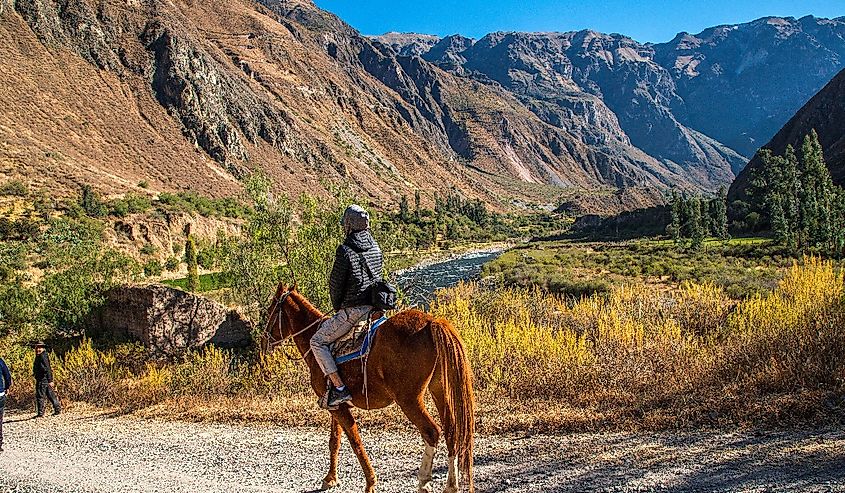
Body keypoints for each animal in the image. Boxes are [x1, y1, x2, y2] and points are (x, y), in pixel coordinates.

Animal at [266, 280, 474, 492]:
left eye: (270, 310)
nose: (265, 336)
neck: (314, 343)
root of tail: (432, 322)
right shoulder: (335, 405)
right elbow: (335, 441)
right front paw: (330, 478)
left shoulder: (339, 409)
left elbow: (354, 440)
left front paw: (370, 483)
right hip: (439, 391)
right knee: (452, 432)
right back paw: (451, 485)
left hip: (410, 400)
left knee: (431, 432)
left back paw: (424, 481)